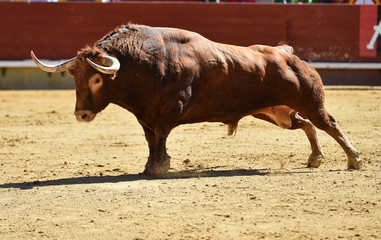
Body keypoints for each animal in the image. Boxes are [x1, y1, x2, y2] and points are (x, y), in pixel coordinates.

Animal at [31, 23, 360, 177]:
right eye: (75, 78)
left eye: (97, 79)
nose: (81, 115)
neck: (142, 64)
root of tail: (286, 54)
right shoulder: (145, 116)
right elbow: (151, 139)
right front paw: (150, 166)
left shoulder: (170, 109)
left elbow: (161, 134)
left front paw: (160, 167)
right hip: (275, 113)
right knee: (307, 125)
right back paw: (315, 158)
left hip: (310, 102)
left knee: (329, 123)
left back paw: (353, 159)